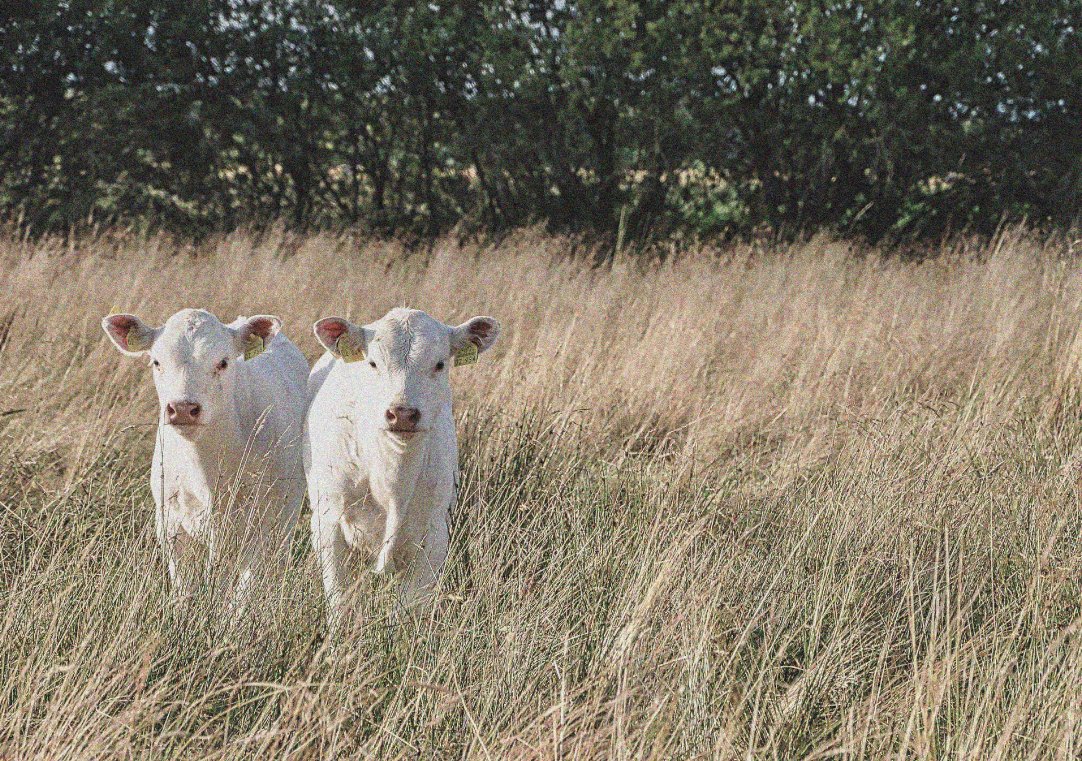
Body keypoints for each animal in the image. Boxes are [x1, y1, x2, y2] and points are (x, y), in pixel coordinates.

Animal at [102, 308, 309, 609]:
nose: (183, 409)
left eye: (223, 362)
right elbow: (183, 583)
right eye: (156, 361)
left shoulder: (262, 523)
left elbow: (241, 589)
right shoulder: (168, 521)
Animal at [304, 307, 500, 630]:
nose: (403, 414)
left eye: (440, 363)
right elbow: (340, 602)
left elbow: (410, 609)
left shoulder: (434, 535)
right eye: (372, 362)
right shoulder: (327, 524)